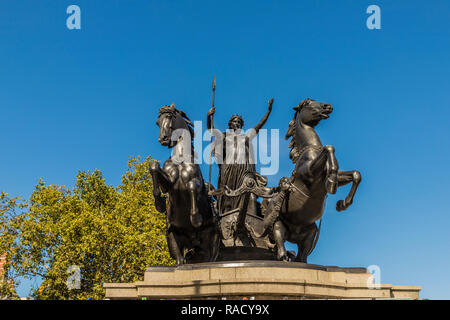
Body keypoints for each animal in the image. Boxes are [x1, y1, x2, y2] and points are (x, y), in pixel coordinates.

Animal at [149, 104, 220, 264]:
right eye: (157, 122)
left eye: (169, 117)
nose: (162, 139)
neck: (181, 158)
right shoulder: (168, 184)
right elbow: (154, 167)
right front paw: (159, 203)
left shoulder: (196, 182)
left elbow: (192, 187)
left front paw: (196, 219)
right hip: (173, 239)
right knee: (180, 260)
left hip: (212, 241)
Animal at [264, 99, 362, 262]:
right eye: (309, 103)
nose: (328, 106)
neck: (310, 149)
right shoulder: (310, 172)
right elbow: (329, 148)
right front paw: (332, 184)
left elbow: (355, 174)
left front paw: (343, 204)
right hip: (277, 223)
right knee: (279, 236)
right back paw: (283, 256)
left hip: (311, 233)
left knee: (302, 256)